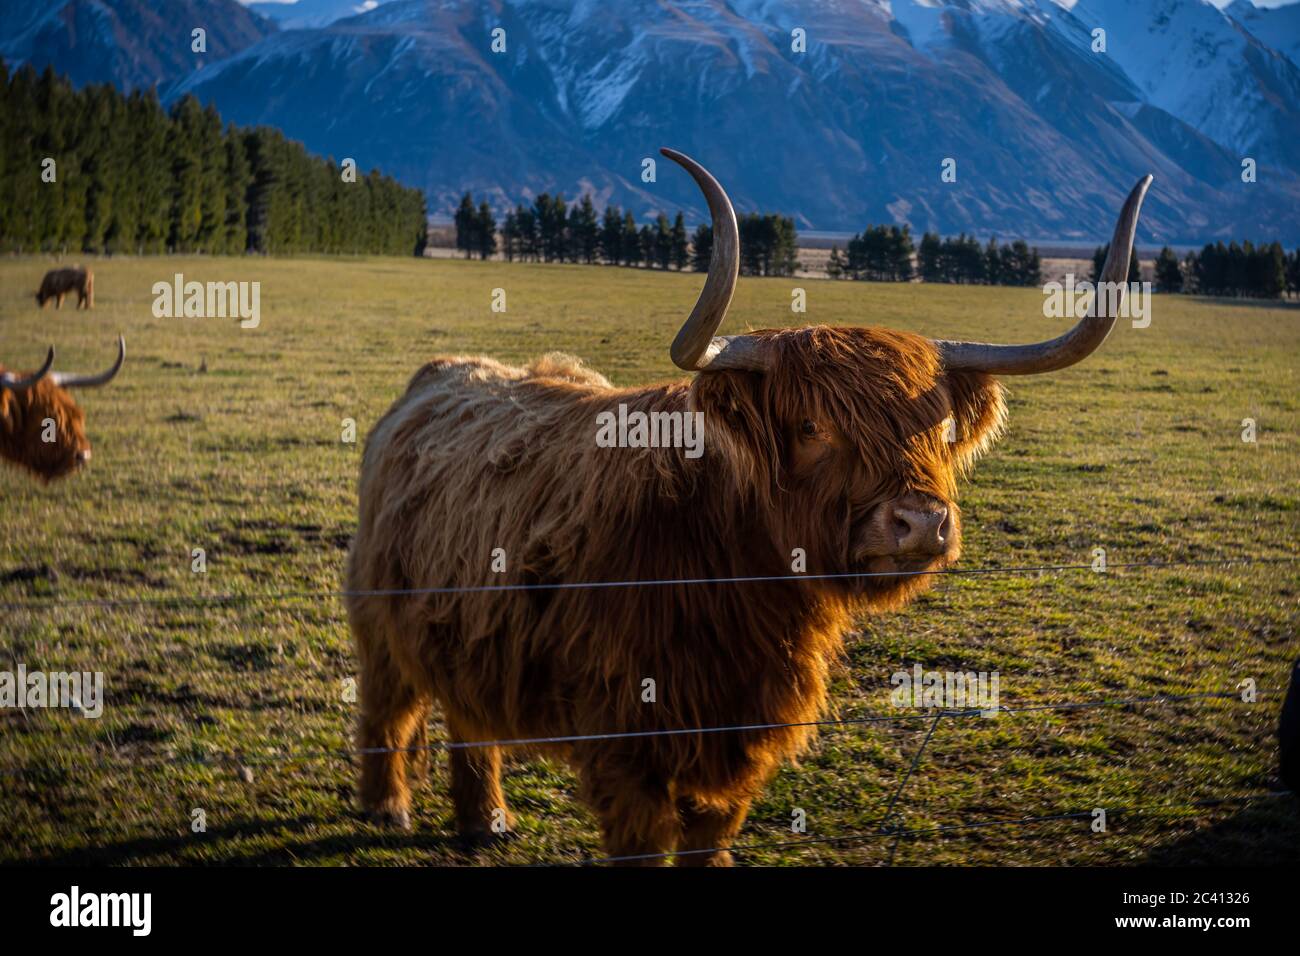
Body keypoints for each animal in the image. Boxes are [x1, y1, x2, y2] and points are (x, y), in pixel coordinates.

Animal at [345, 149, 1152, 864]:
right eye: (812, 426)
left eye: (937, 427)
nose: (920, 522)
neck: (729, 564)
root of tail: (442, 376)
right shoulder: (626, 731)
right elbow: (645, 842)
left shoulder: (746, 726)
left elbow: (711, 831)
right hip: (379, 620)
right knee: (388, 706)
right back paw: (389, 811)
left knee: (468, 720)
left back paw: (487, 822)